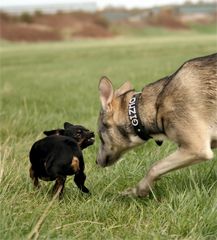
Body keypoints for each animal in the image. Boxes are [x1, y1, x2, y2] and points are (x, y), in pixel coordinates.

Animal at [97, 53, 217, 198]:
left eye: (100, 137)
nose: (96, 161)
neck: (155, 107)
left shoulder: (196, 148)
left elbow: (154, 168)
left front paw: (137, 191)